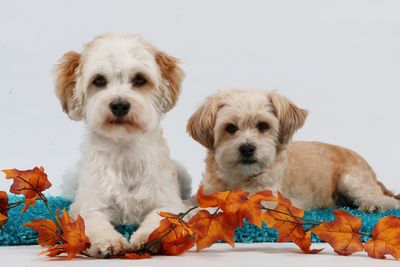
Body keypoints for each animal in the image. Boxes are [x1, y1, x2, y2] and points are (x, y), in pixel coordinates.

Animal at [54, 33, 191, 258]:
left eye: (139, 79)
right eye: (99, 80)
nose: (119, 105)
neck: (124, 151)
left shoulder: (167, 202)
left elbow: (160, 218)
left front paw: (149, 237)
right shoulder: (89, 206)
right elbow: (93, 222)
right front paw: (108, 241)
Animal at [188, 89, 400, 211]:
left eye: (263, 126)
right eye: (230, 128)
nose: (247, 148)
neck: (238, 178)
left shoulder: (269, 200)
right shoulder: (208, 191)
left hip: (352, 181)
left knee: (388, 201)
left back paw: (374, 205)